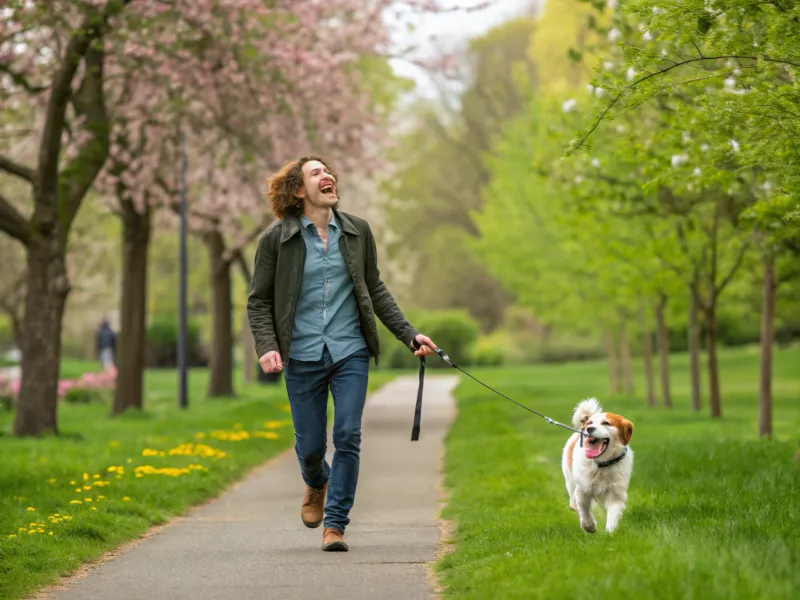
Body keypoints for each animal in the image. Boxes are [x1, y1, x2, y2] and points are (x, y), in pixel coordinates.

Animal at [560, 398, 636, 536]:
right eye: (590, 423)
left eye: (606, 423)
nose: (589, 428)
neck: (601, 465)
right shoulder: (582, 491)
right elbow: (585, 512)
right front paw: (589, 527)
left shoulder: (616, 494)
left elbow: (613, 515)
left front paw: (610, 533)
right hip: (570, 482)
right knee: (573, 503)